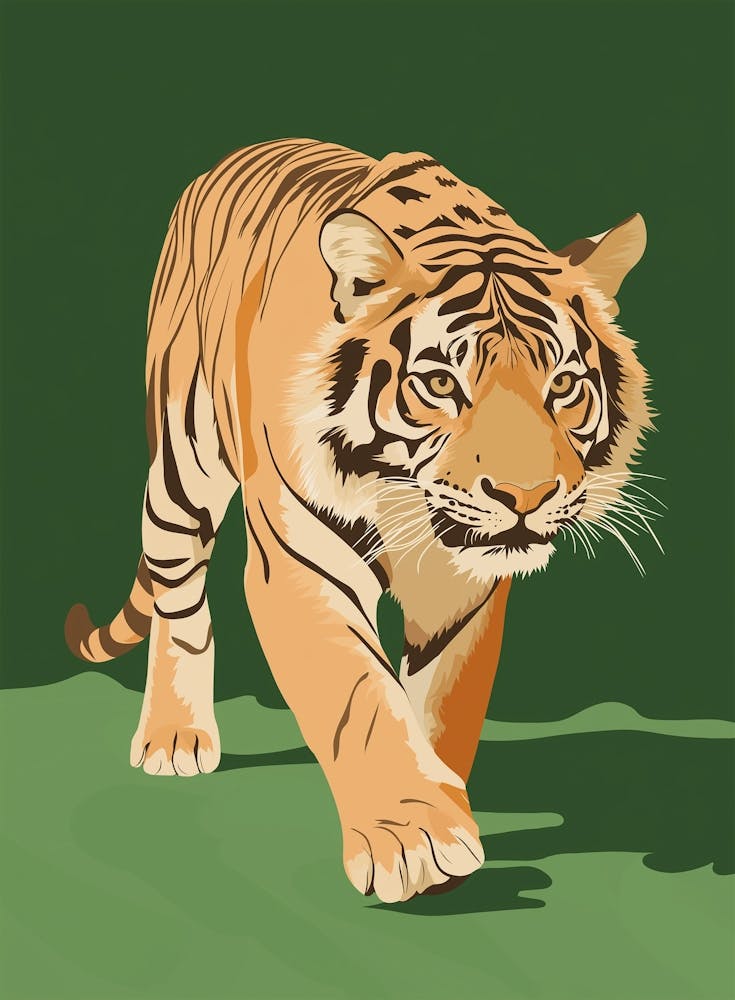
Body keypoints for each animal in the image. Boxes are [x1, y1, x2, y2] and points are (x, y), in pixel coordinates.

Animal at [65, 138, 654, 904]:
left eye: (562, 386)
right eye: (441, 384)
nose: (524, 496)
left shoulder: (464, 590)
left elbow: (440, 705)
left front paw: (445, 807)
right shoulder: (300, 563)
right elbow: (360, 698)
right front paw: (415, 839)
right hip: (182, 460)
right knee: (179, 592)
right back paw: (174, 737)